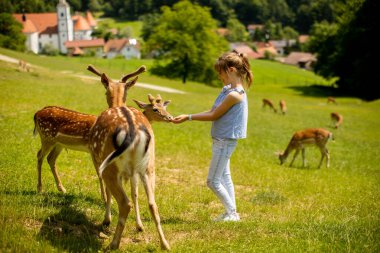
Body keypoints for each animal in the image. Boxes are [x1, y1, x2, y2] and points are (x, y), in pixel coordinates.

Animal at [33, 64, 146, 202]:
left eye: (126, 92)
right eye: (106, 91)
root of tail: (37, 113)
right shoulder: (93, 151)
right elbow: (100, 173)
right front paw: (105, 198)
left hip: (58, 143)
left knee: (50, 159)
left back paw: (62, 189)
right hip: (46, 137)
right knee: (39, 155)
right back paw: (40, 188)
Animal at [88, 94, 173, 250]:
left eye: (164, 107)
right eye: (155, 108)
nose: (170, 117)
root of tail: (133, 133)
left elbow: (110, 193)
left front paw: (106, 220)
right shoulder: (135, 172)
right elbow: (135, 193)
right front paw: (139, 226)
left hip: (109, 166)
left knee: (125, 203)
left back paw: (113, 244)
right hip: (149, 167)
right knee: (152, 203)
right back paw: (165, 244)